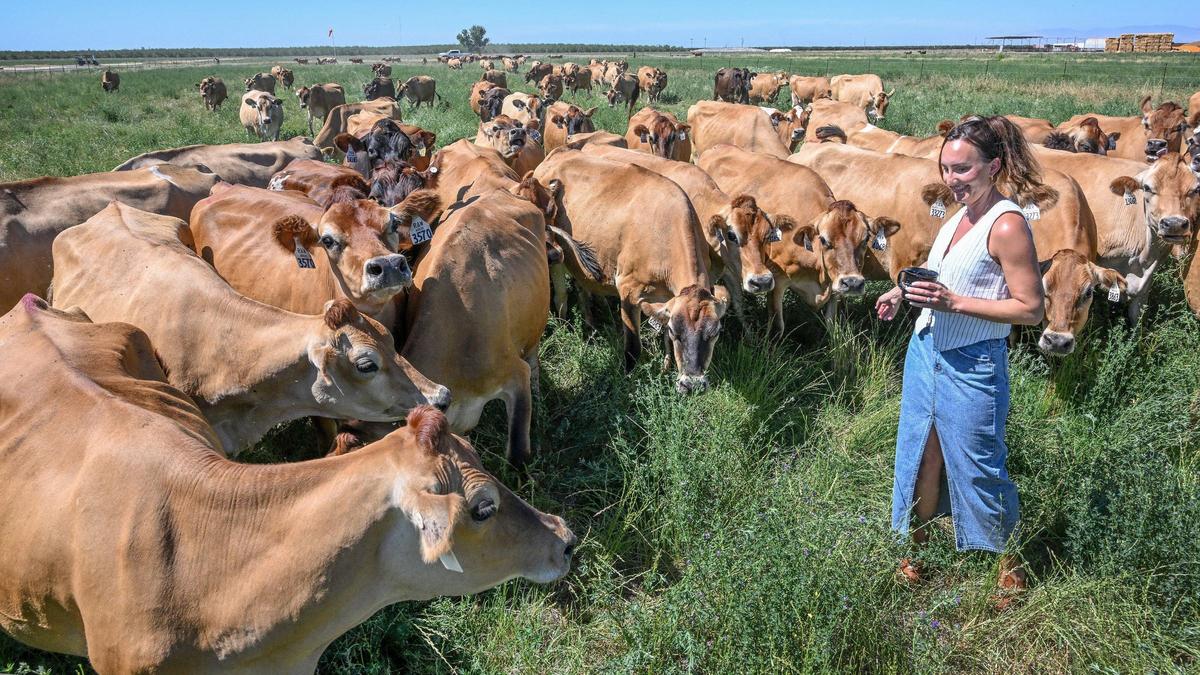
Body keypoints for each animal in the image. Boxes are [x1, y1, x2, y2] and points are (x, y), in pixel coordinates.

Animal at [533, 150, 731, 392]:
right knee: (560, 294)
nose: (692, 385)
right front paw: (627, 379)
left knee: (582, 287)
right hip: (555, 254)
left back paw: (590, 325)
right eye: (676, 331)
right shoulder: (628, 290)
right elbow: (633, 348)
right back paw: (565, 328)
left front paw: (666, 367)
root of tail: (558, 152)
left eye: (715, 333)